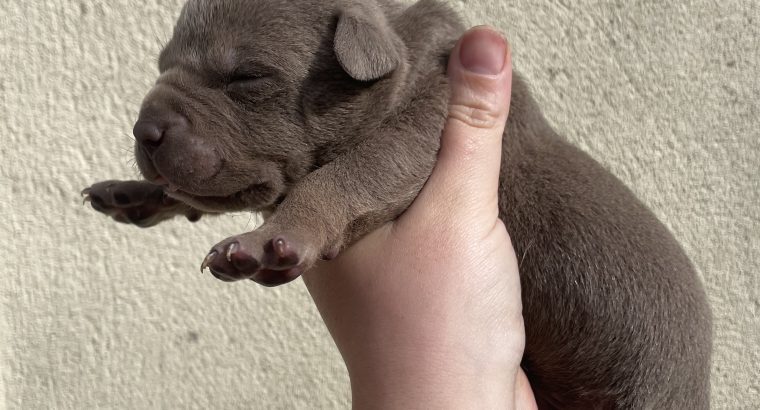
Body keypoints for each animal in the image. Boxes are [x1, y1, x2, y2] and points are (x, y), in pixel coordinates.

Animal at [83, 0, 712, 406]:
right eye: (161, 65)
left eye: (246, 78)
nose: (144, 130)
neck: (404, 51)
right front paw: (131, 193)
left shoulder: (418, 135)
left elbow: (338, 179)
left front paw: (266, 242)